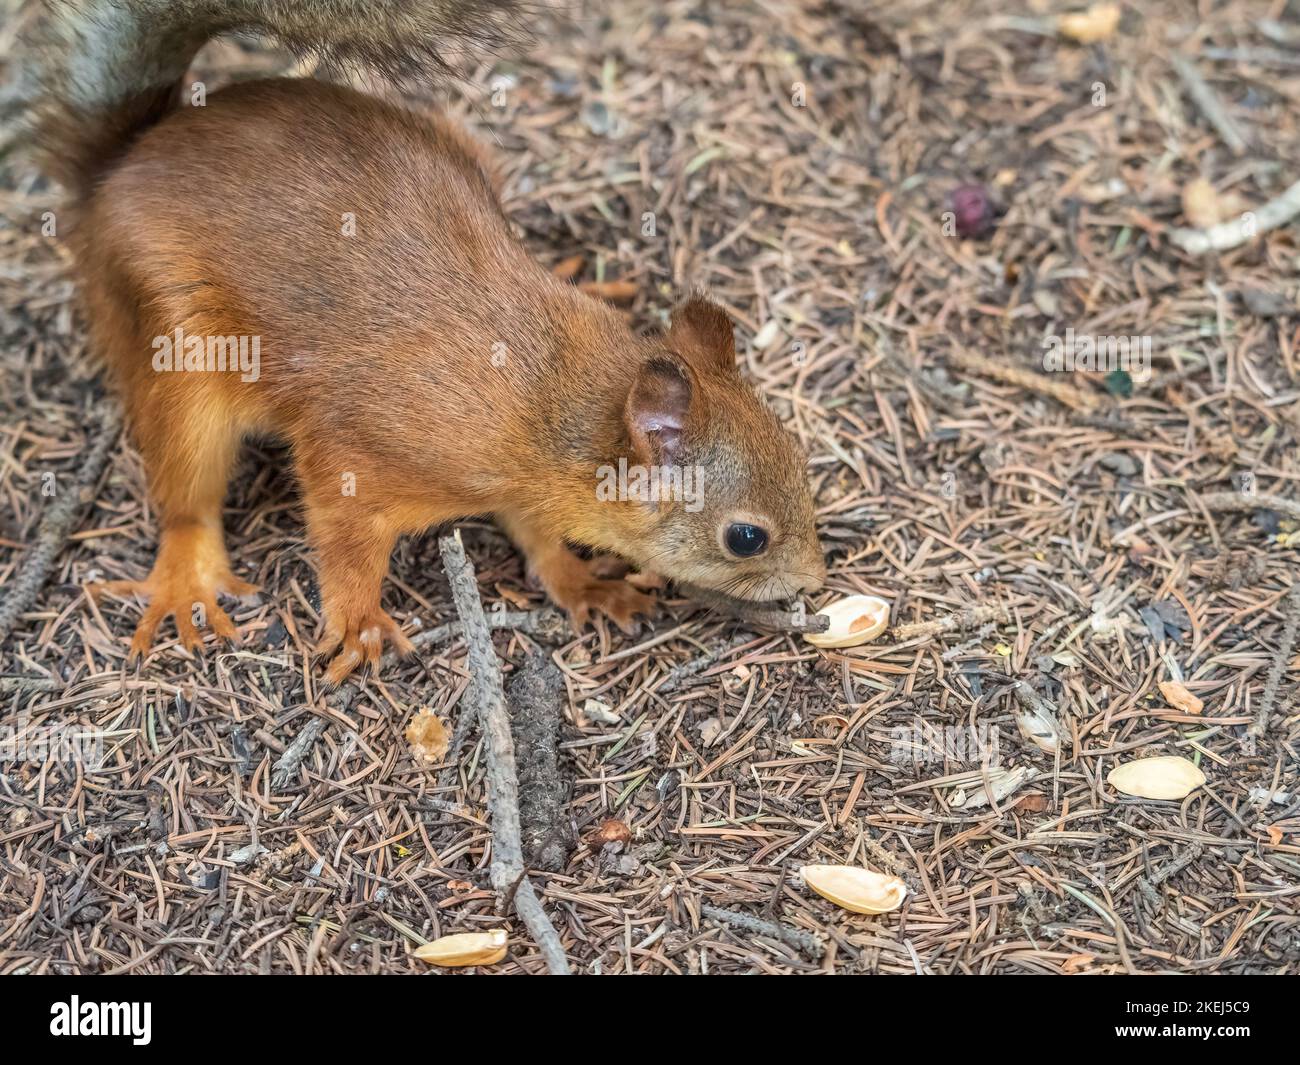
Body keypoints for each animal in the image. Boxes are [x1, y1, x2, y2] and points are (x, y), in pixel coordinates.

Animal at [27, 2, 821, 681]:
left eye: (799, 459)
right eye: (746, 537)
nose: (816, 577)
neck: (556, 402)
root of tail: (121, 166)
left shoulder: (526, 485)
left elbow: (537, 535)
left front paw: (582, 583)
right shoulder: (360, 446)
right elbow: (344, 535)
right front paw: (358, 620)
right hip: (173, 349)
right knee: (185, 494)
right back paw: (185, 577)